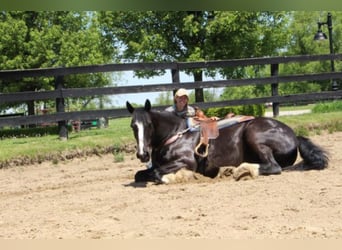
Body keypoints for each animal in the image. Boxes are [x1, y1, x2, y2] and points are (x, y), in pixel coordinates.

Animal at [125, 99, 328, 184]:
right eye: (133, 126)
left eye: (149, 125)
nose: (142, 154)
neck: (176, 134)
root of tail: (294, 135)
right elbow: (140, 174)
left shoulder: (186, 162)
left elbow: (158, 173)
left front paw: (175, 177)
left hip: (254, 134)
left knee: (273, 166)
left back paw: (240, 170)